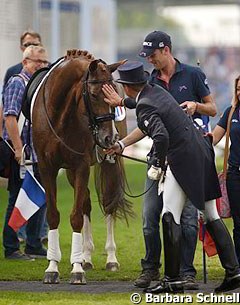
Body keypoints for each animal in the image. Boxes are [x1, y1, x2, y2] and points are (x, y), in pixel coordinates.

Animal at [31, 48, 131, 284]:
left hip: (108, 164)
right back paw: (85, 256)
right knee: (85, 203)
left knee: (108, 203)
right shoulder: (48, 168)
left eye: (111, 96)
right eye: (94, 95)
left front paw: (76, 270)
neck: (58, 114)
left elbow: (75, 216)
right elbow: (54, 215)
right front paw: (53, 267)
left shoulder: (81, 166)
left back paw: (110, 258)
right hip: (69, 172)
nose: (109, 138)